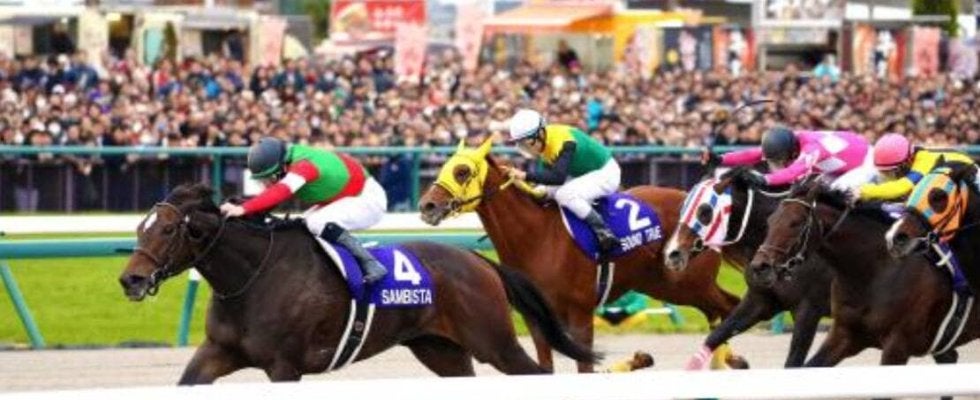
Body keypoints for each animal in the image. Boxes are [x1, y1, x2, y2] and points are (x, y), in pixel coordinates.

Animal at [118, 183, 597, 383]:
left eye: (167, 230)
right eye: (141, 227)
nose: (130, 279)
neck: (252, 279)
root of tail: (479, 262)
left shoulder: (285, 366)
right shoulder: (218, 353)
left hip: (495, 343)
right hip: (441, 350)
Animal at [418, 139, 741, 372]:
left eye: (462, 171)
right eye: (443, 167)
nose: (426, 206)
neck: (538, 238)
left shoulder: (581, 312)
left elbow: (584, 366)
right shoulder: (536, 317)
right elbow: (545, 366)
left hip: (689, 282)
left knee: (729, 305)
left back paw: (730, 361)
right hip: (666, 285)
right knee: (718, 310)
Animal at [663, 167, 832, 368]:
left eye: (705, 211)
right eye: (683, 208)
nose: (672, 254)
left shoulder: (808, 309)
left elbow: (794, 360)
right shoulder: (760, 300)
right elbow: (714, 337)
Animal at [750, 178, 978, 371]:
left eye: (795, 223)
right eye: (770, 221)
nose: (760, 266)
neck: (873, 272)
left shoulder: (898, 345)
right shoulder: (843, 336)